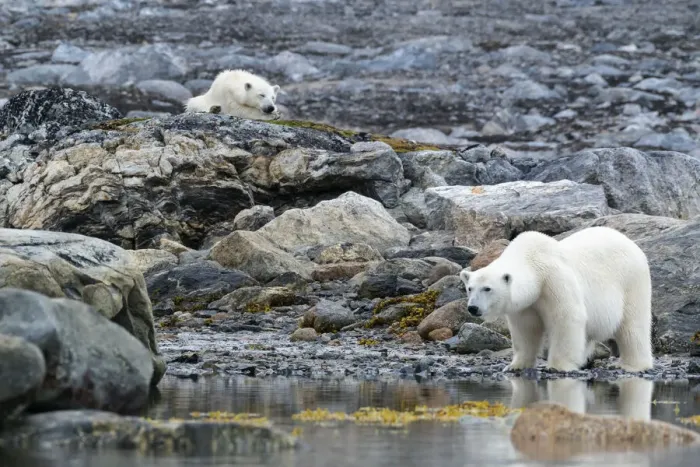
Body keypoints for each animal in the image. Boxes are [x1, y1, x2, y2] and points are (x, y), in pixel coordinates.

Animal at [459, 226, 654, 373]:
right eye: (470, 288)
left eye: (487, 288)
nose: (473, 308)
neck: (532, 264)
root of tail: (631, 244)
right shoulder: (526, 304)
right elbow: (525, 329)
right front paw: (515, 365)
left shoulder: (553, 280)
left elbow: (566, 317)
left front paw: (558, 366)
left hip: (631, 281)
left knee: (633, 325)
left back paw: (632, 365)